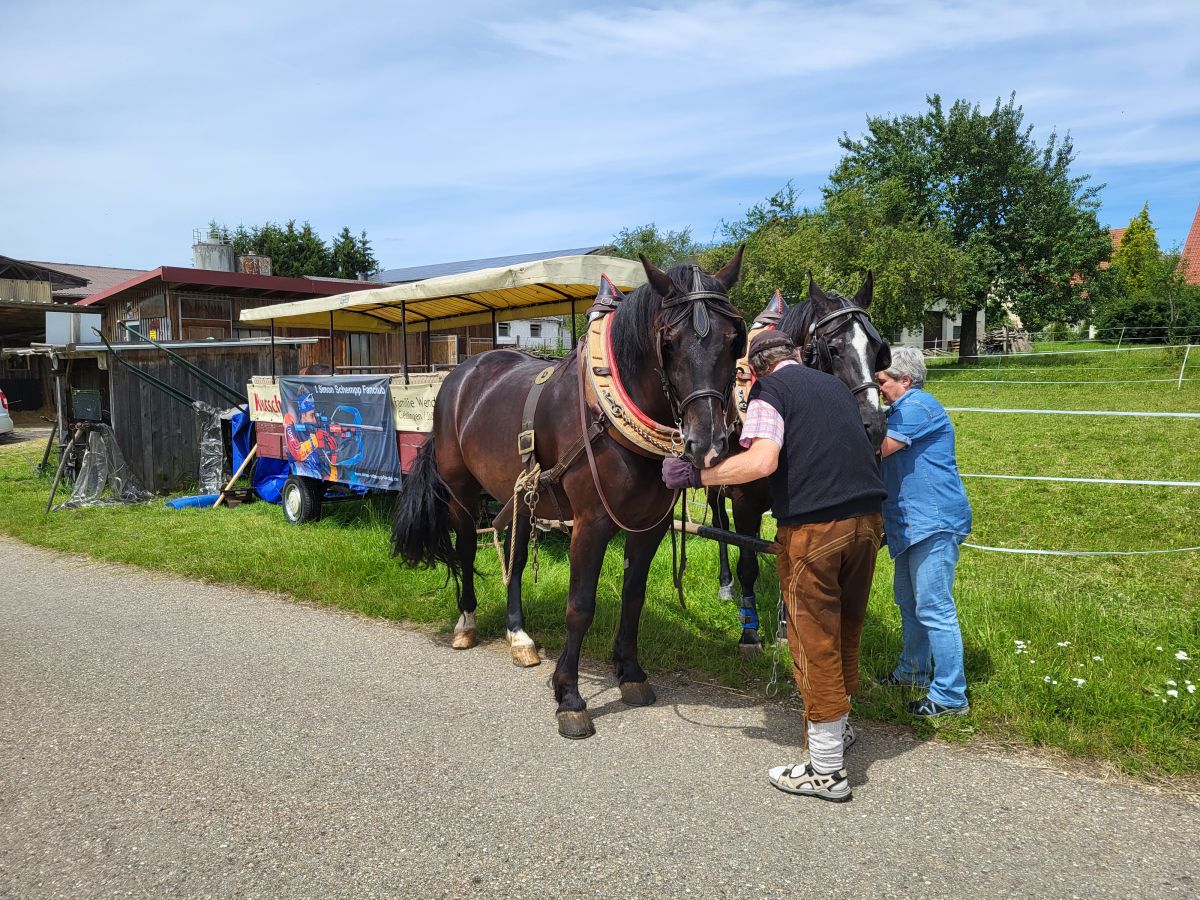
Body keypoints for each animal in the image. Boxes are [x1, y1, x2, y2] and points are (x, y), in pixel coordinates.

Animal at [393, 250, 748, 734]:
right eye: (669, 343)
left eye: (733, 341)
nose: (707, 443)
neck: (610, 413)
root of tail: (460, 373)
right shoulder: (591, 523)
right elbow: (579, 606)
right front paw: (570, 697)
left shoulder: (650, 525)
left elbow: (634, 596)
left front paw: (630, 673)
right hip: (461, 490)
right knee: (466, 548)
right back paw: (466, 623)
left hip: (521, 495)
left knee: (517, 556)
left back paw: (518, 635)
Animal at [705, 274, 897, 657]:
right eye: (833, 349)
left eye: (876, 349)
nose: (873, 426)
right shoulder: (744, 502)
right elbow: (748, 563)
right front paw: (750, 632)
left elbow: (785, 560)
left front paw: (784, 628)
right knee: (720, 525)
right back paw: (725, 584)